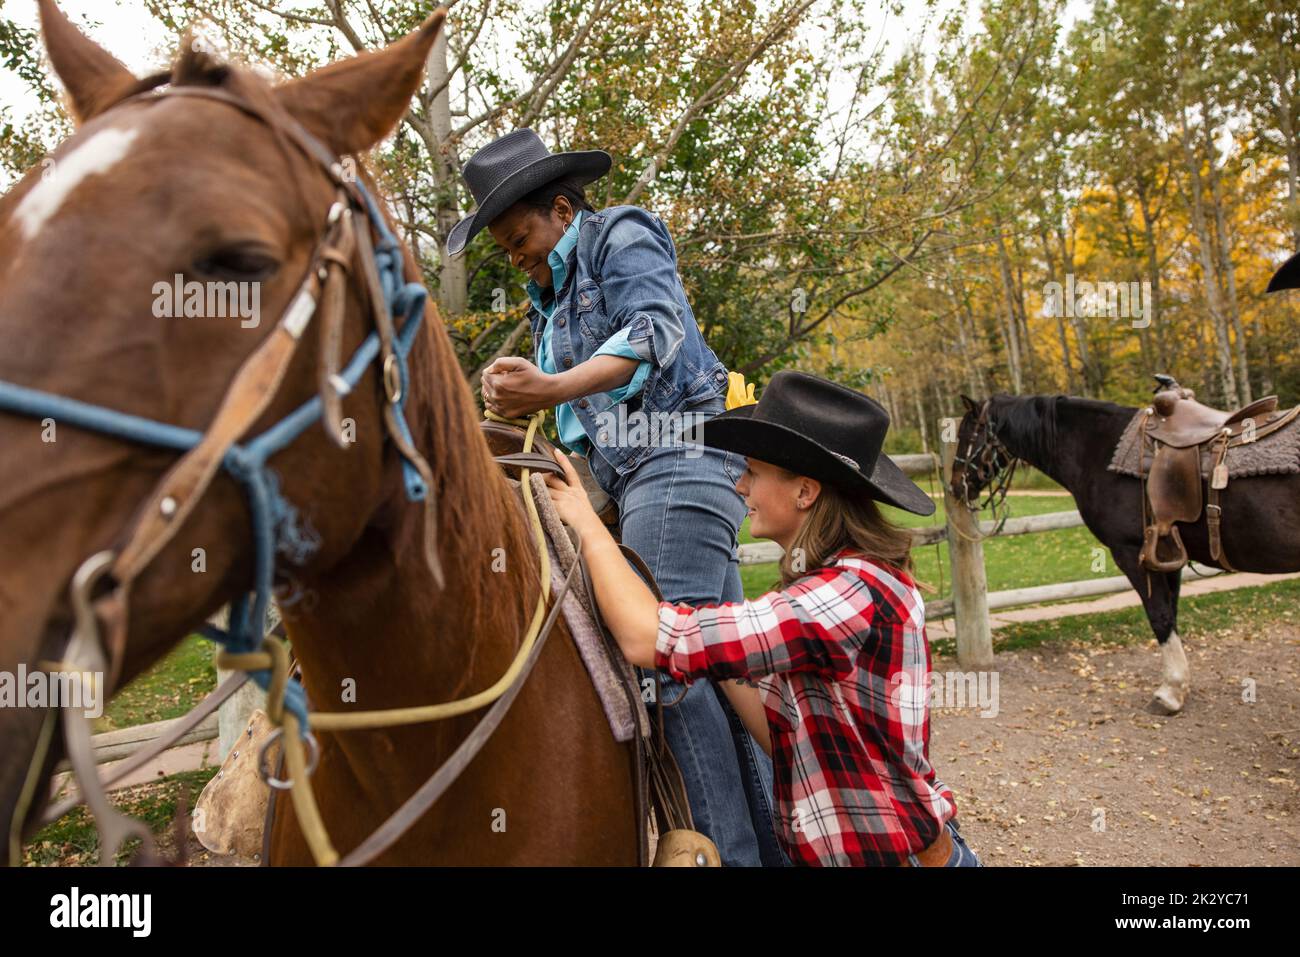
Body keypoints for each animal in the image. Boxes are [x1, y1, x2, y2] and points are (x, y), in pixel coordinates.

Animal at [946, 392, 1300, 712]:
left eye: (964, 435)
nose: (955, 485)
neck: (1099, 449)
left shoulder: (1132, 554)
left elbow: (1159, 616)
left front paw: (1170, 692)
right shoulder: (1169, 556)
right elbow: (1171, 613)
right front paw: (1180, 685)